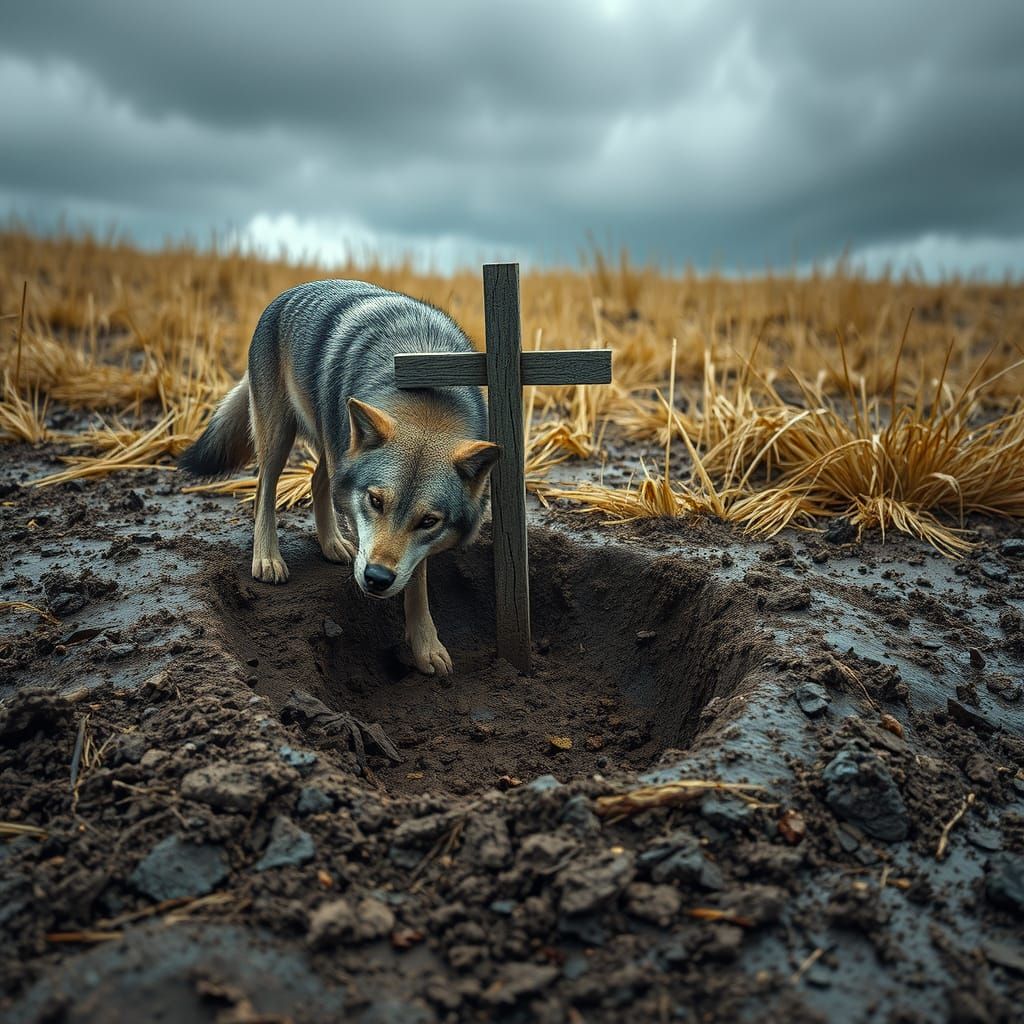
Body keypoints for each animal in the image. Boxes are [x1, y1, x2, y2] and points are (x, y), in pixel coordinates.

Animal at [179, 279, 500, 676]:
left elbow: (417, 580)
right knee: (264, 490)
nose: (377, 578)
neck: (426, 386)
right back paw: (269, 558)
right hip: (280, 436)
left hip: (330, 442)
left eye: (428, 521)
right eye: (375, 501)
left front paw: (426, 645)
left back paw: (333, 544)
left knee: (320, 484)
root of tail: (290, 291)